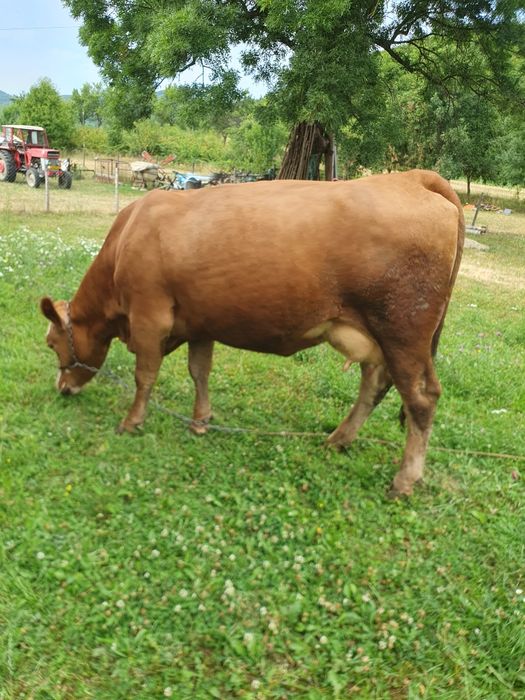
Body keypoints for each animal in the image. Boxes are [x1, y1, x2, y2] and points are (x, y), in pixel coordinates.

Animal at [40, 170, 464, 497]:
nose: (62, 389)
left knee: (420, 399)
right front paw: (201, 420)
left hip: (403, 332)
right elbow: (200, 371)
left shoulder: (149, 316)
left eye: (51, 343)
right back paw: (338, 440)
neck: (129, 236)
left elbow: (145, 375)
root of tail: (412, 178)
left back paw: (404, 480)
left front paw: (132, 422)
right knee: (374, 385)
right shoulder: (200, 321)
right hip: (377, 337)